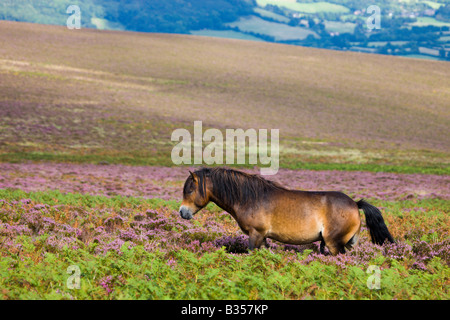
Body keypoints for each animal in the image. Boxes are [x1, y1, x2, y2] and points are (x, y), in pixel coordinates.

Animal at [179, 168, 394, 255]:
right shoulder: (263, 237)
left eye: (189, 190)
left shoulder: (255, 234)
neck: (250, 197)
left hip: (334, 244)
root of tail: (355, 204)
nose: (182, 212)